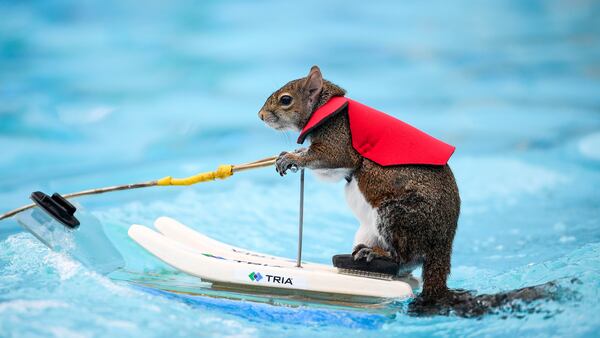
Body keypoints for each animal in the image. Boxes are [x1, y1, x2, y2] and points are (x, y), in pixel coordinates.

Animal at [258, 66, 564, 316]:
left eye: (286, 100)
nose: (260, 116)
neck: (327, 106)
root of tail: (443, 243)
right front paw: (291, 154)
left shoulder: (340, 142)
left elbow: (331, 158)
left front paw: (292, 158)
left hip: (397, 216)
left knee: (402, 258)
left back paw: (376, 255)